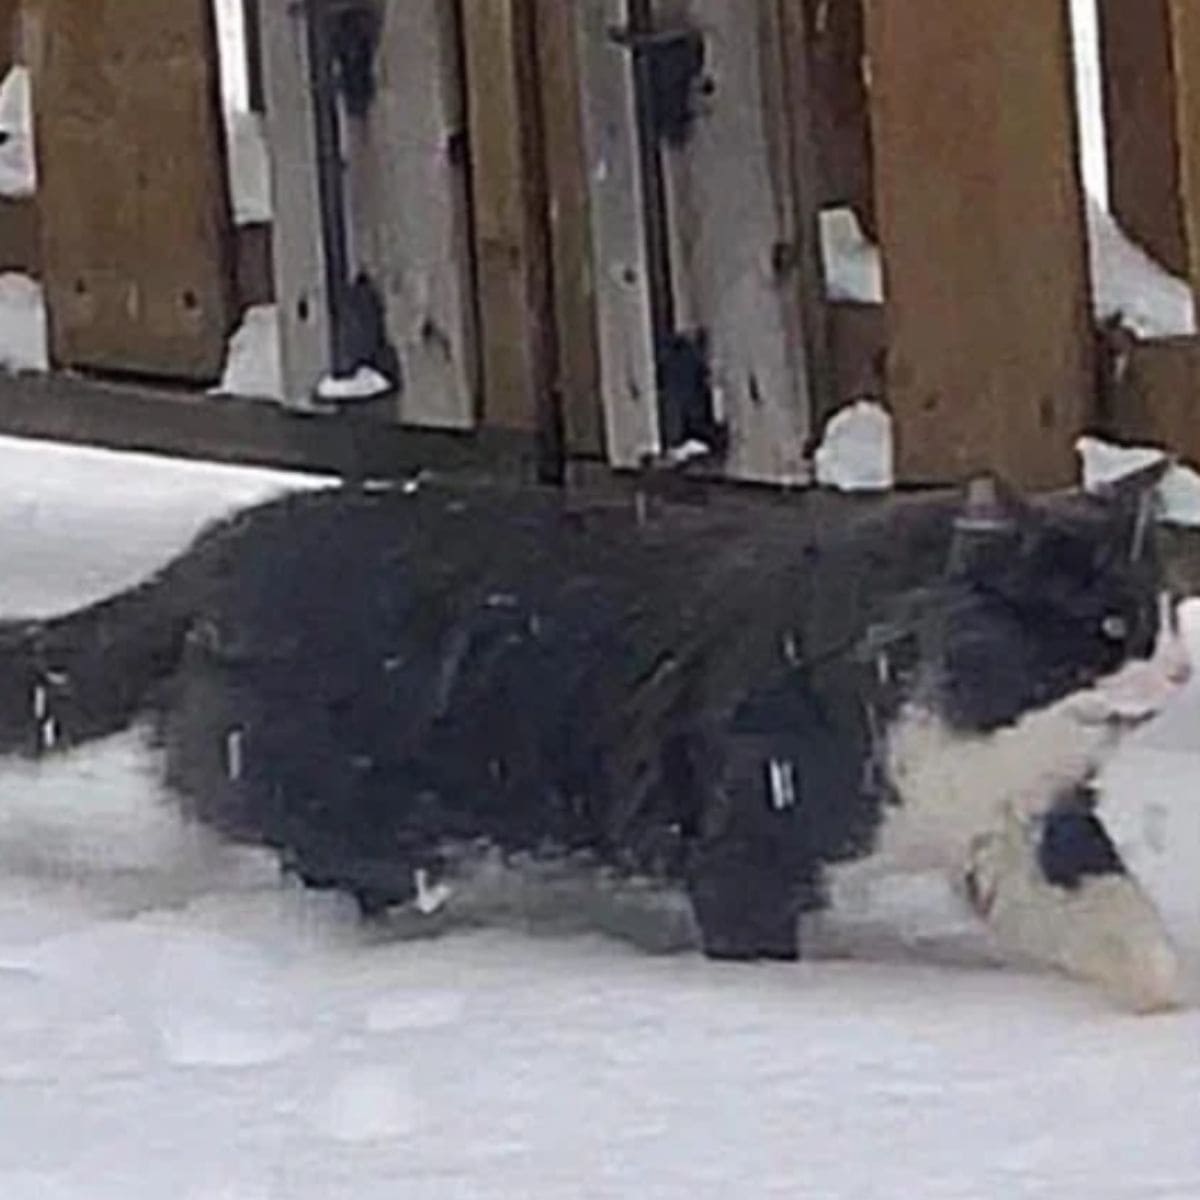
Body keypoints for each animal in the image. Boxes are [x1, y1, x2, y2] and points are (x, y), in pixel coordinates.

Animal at [0, 468, 1185, 1012]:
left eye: (1166, 614)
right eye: (1107, 632)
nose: (1180, 674)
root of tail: (220, 544)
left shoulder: (1021, 832)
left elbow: (1115, 917)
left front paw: (1166, 1006)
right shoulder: (751, 837)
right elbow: (760, 949)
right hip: (349, 800)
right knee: (334, 863)